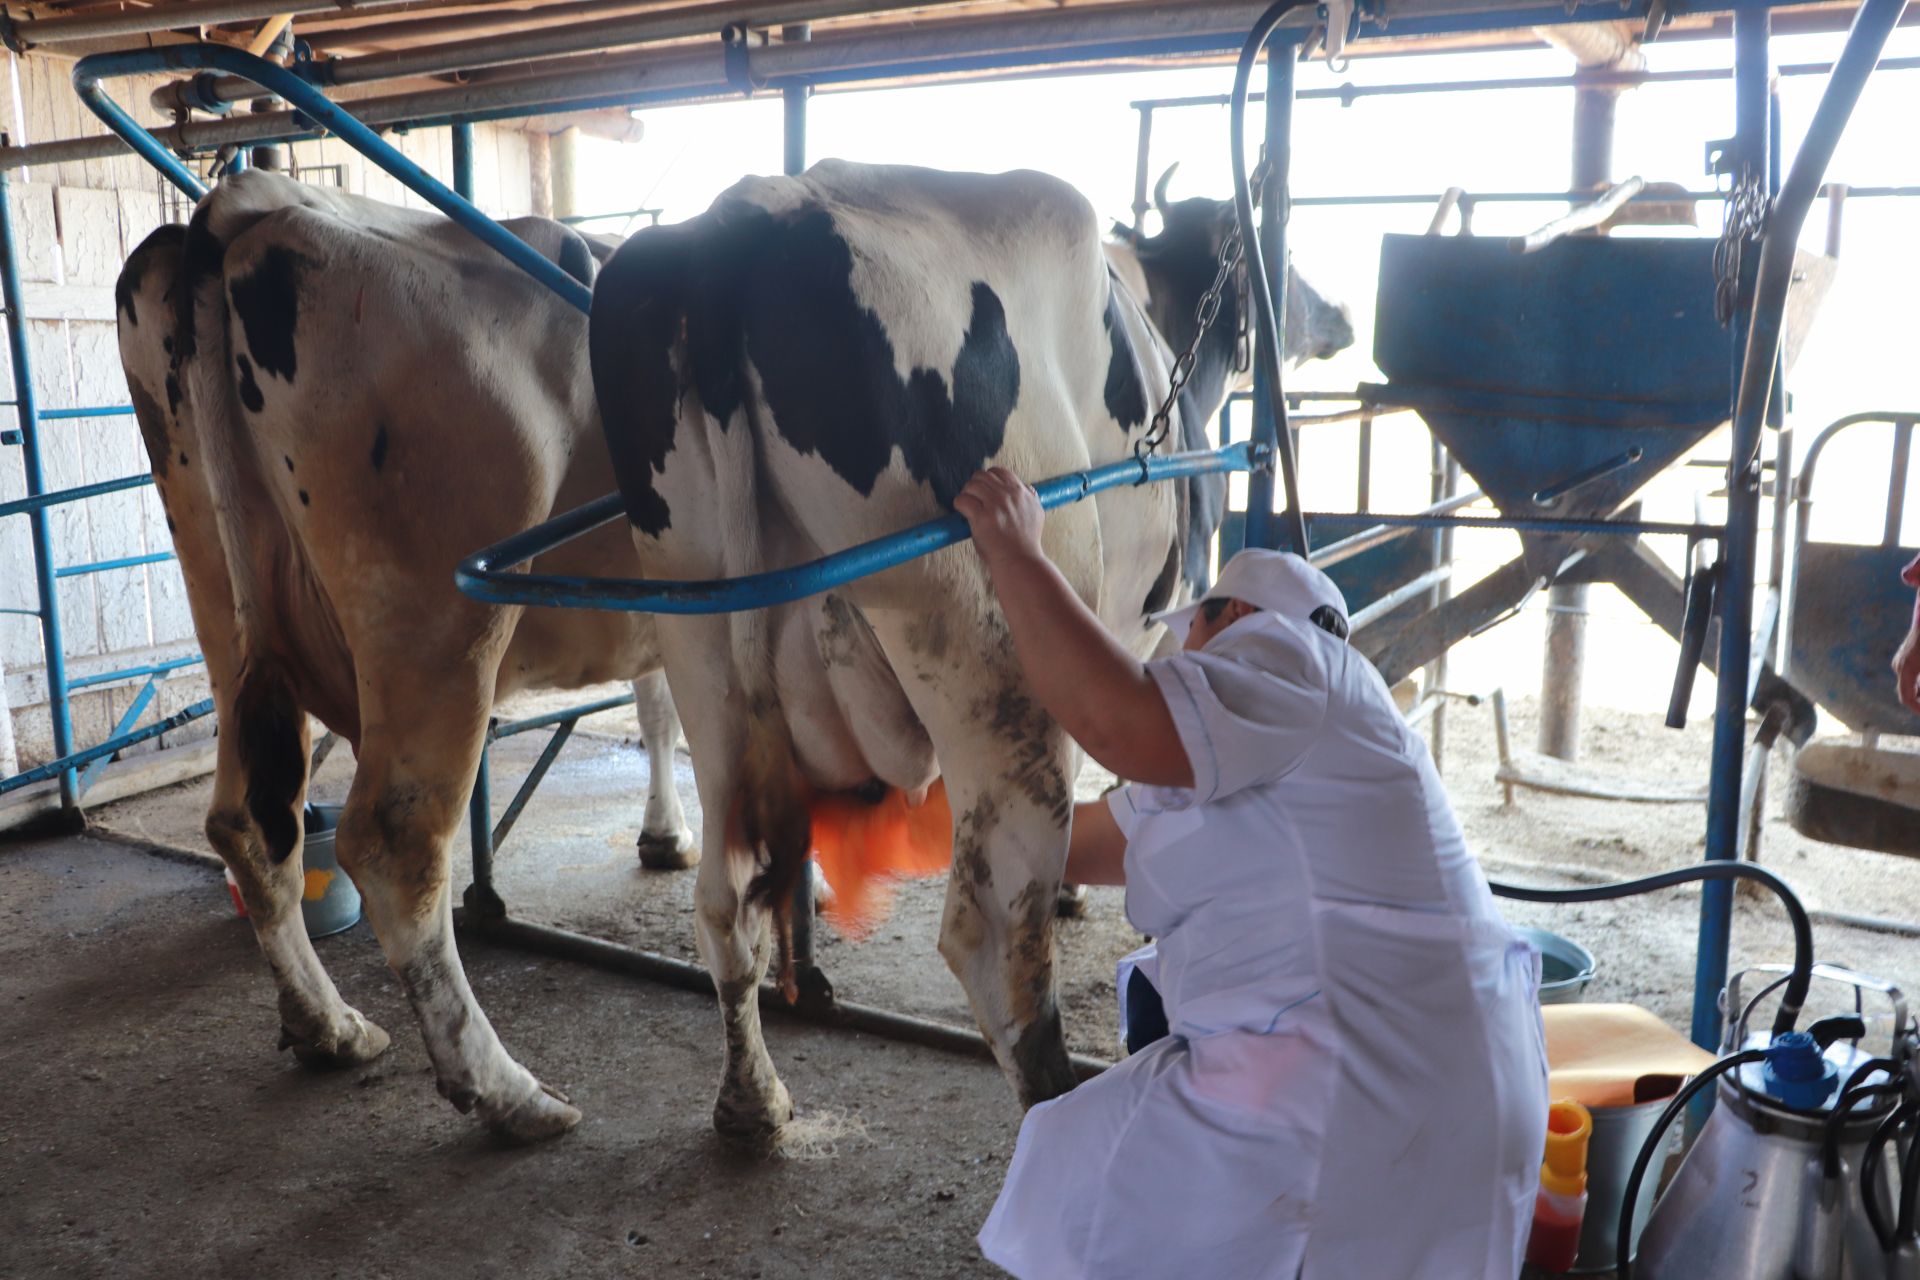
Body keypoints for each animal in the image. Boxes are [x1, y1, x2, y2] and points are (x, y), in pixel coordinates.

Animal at [116, 169, 695, 1143]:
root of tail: (246, 202)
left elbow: (657, 707)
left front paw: (666, 837)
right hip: (436, 627)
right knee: (394, 845)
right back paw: (506, 1092)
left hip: (218, 591)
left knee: (245, 823)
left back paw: (330, 1028)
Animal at [591, 163, 1359, 1143]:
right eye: (1284, 262)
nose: (1340, 316)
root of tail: (745, 222)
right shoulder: (1137, 628)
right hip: (994, 664)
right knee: (995, 941)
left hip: (698, 635)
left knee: (725, 906)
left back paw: (752, 1103)